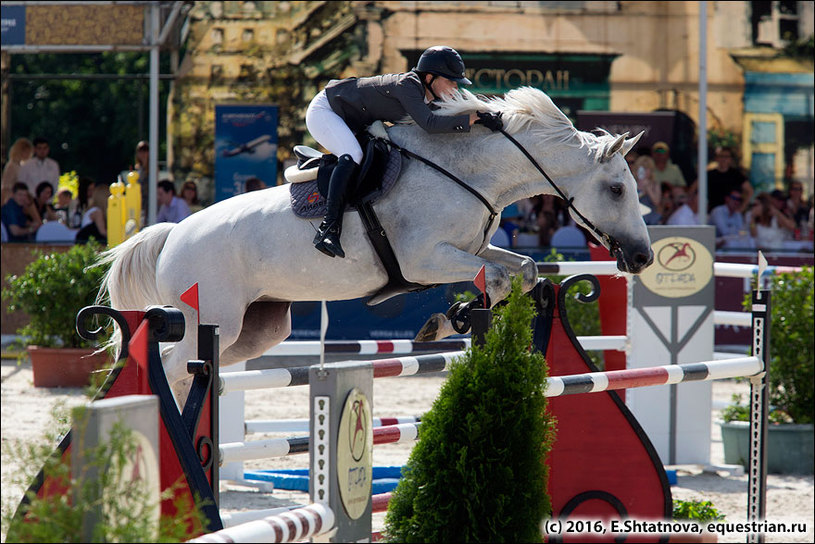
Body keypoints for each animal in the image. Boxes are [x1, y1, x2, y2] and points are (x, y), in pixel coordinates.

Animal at [99, 87, 652, 402]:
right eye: (617, 189)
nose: (643, 257)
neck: (471, 171)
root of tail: (172, 234)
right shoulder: (425, 259)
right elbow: (494, 276)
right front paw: (449, 320)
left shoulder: (469, 250)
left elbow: (521, 268)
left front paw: (453, 317)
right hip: (209, 317)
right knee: (172, 366)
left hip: (254, 329)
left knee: (199, 366)